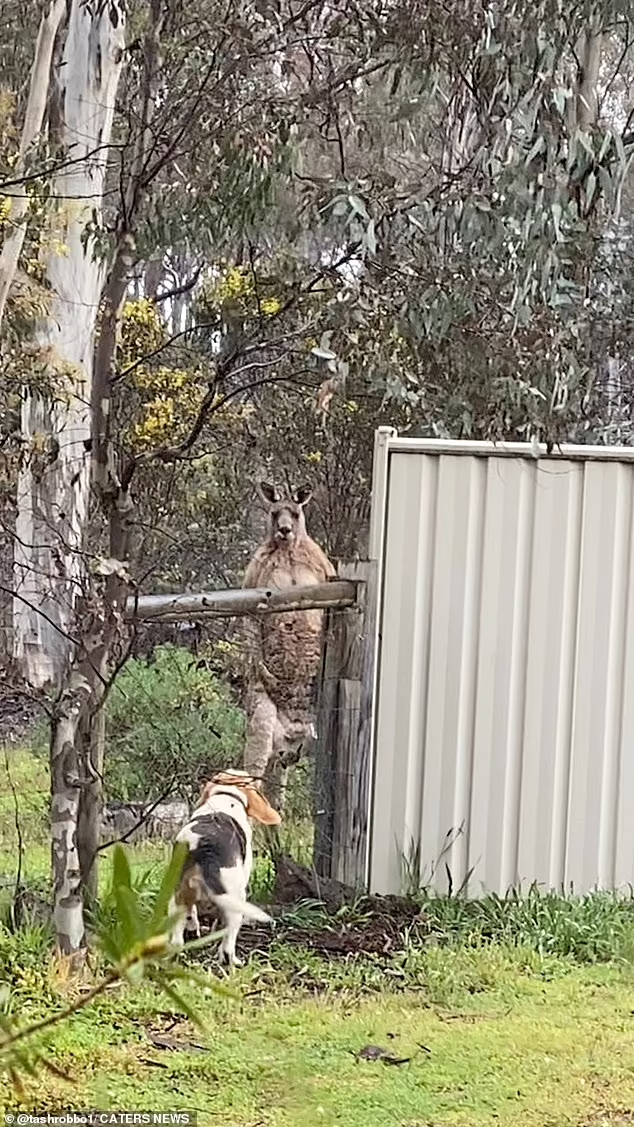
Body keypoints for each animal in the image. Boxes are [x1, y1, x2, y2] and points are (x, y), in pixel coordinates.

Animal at [168, 770, 280, 964]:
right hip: (236, 899)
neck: (227, 795)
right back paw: (232, 961)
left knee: (176, 939)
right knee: (228, 944)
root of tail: (204, 845)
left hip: (177, 896)